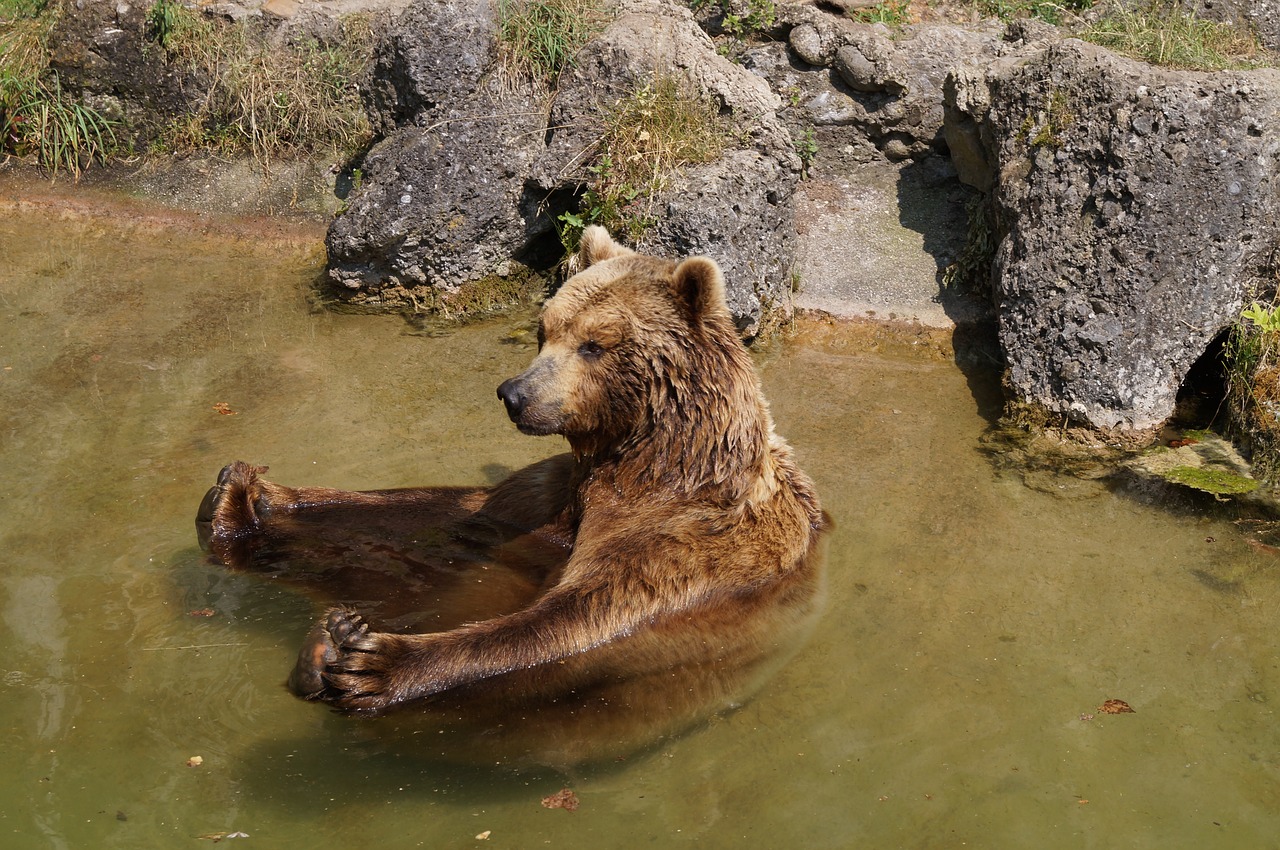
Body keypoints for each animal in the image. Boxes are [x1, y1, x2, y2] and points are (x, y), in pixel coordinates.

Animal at [194, 225, 824, 762]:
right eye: (545, 331)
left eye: (594, 345)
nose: (515, 394)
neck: (649, 462)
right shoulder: (545, 501)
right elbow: (440, 512)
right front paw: (253, 493)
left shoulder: (684, 540)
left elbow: (576, 619)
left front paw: (382, 664)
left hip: (580, 715)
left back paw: (334, 651)